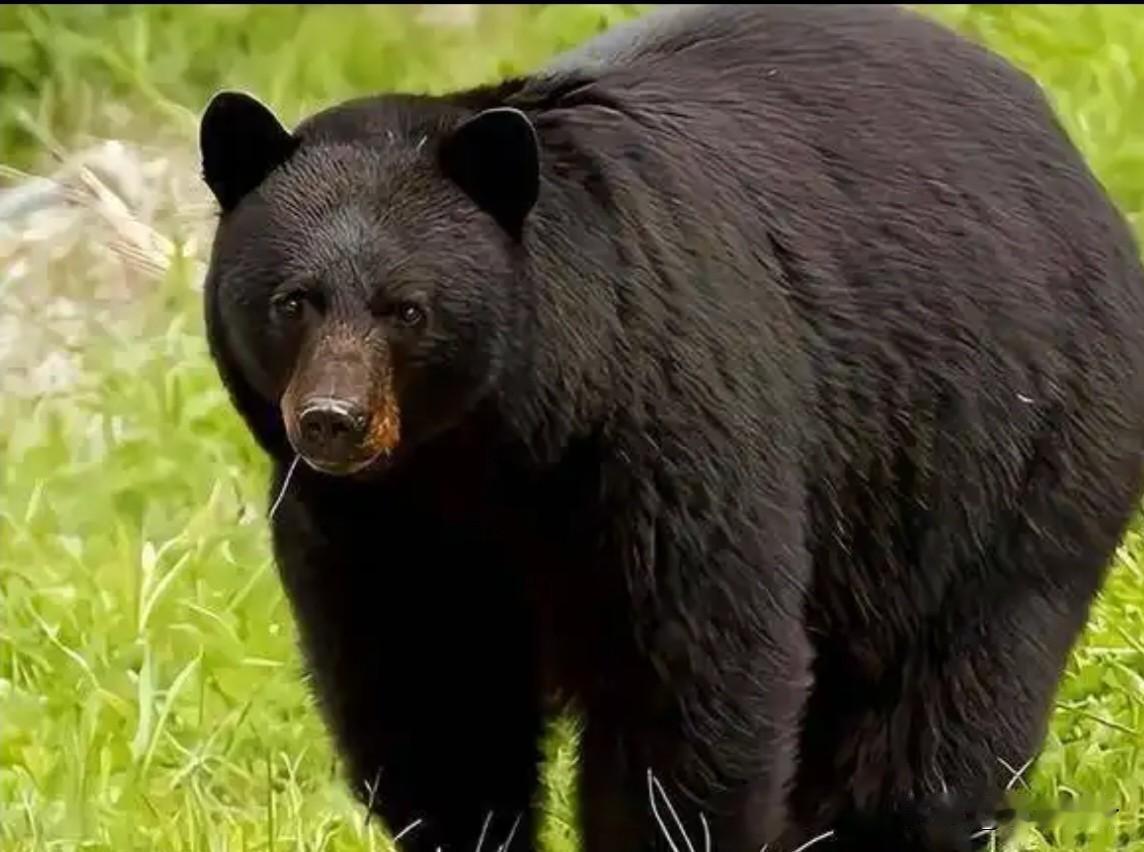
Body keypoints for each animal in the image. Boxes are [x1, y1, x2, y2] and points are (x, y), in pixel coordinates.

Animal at [197, 4, 1144, 852]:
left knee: (943, 708)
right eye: (292, 301)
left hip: (1005, 459)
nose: (333, 422)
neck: (485, 456)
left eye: (408, 309)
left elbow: (691, 686)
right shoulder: (363, 527)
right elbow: (427, 695)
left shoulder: (664, 435)